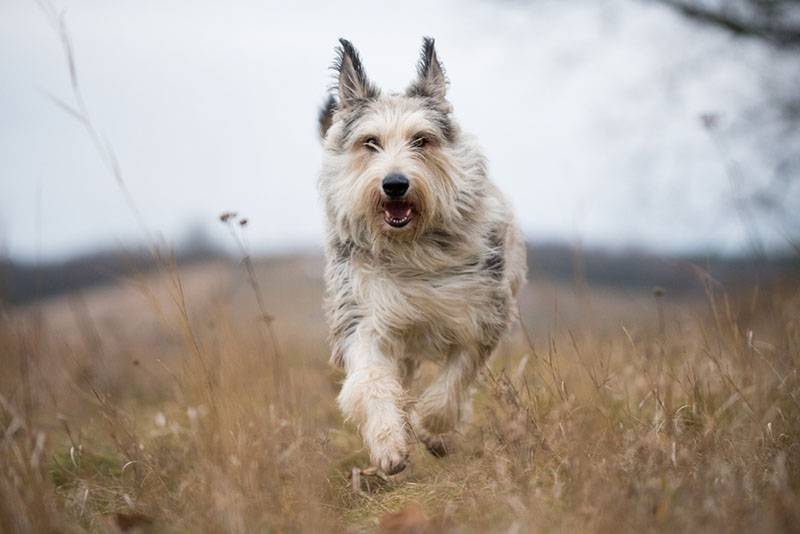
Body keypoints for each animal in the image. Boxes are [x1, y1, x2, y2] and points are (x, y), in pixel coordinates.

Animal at [316, 37, 528, 476]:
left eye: (421, 140)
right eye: (370, 142)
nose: (395, 184)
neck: (411, 248)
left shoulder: (481, 312)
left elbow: (454, 381)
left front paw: (431, 428)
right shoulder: (363, 313)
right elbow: (371, 380)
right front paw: (388, 444)